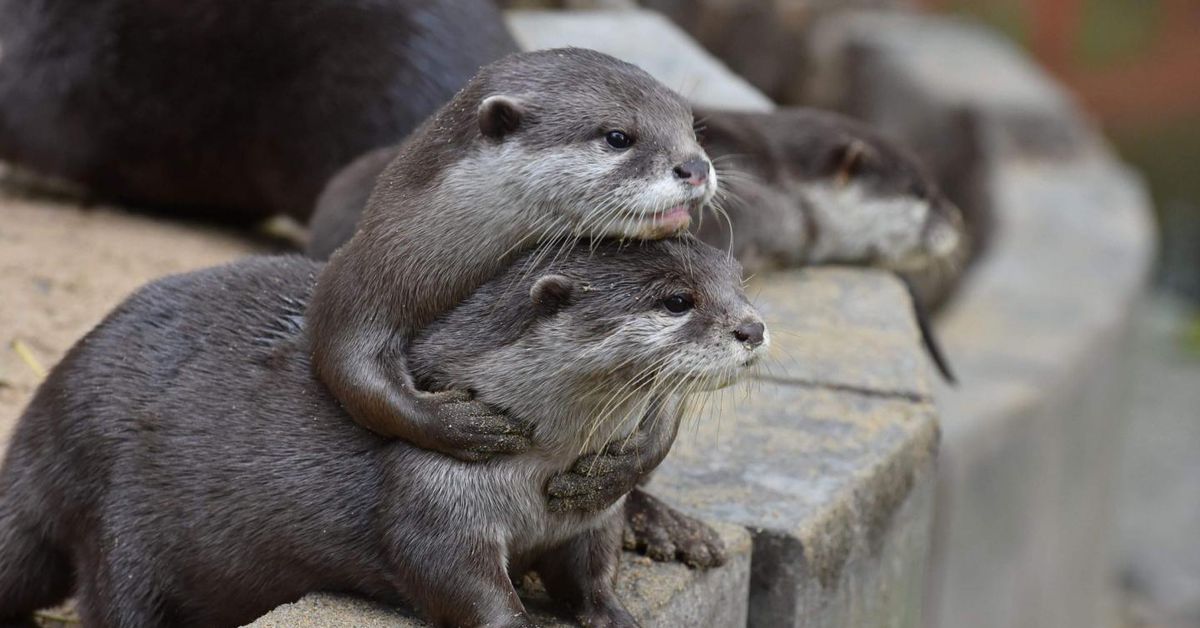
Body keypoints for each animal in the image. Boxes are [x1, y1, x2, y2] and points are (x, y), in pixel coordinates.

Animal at [0, 237, 767, 628]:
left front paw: (615, 614)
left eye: (740, 282)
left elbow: (592, 577)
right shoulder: (434, 496)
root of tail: (46, 426)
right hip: (119, 525)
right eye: (676, 300)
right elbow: (458, 584)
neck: (536, 474)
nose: (754, 327)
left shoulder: (591, 513)